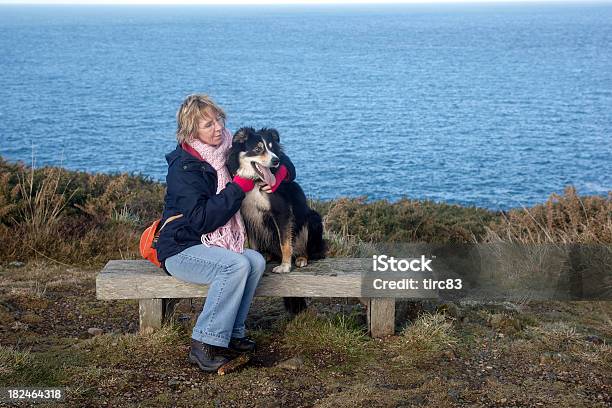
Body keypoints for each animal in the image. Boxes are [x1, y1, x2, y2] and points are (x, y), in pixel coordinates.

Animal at [227, 126, 328, 274]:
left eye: (271, 148)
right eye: (258, 149)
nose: (276, 161)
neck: (255, 182)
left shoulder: (282, 212)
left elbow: (284, 242)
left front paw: (285, 266)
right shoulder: (248, 215)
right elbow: (253, 243)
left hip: (313, 219)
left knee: (308, 250)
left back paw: (301, 258)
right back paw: (267, 255)